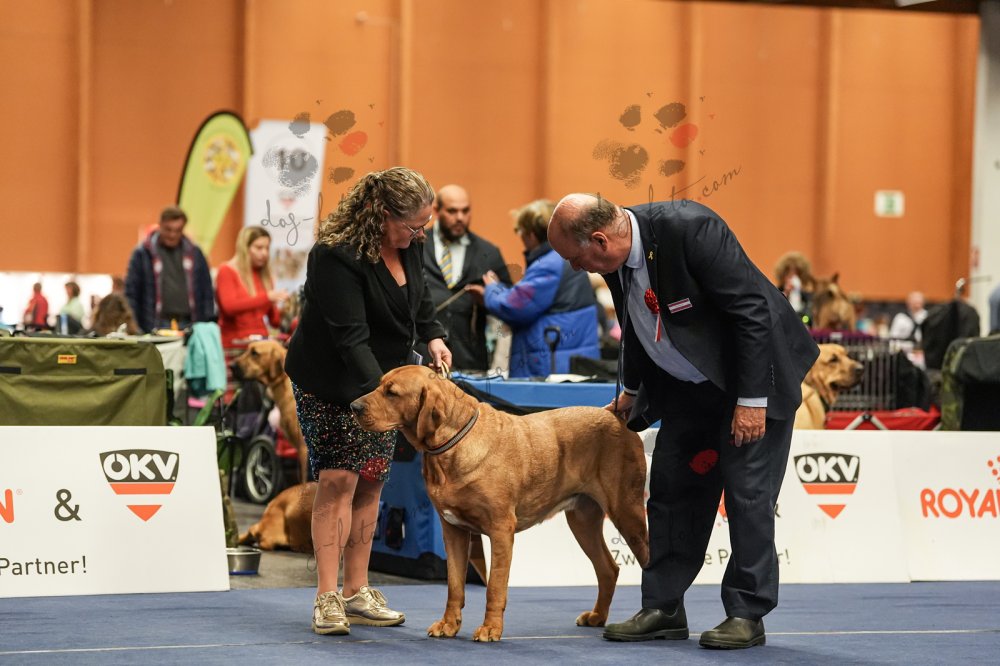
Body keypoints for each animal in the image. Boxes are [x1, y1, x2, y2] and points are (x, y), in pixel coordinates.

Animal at [350, 365, 649, 642]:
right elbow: (454, 585)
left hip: (627, 511)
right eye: (380, 385)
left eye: (392, 393)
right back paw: (597, 616)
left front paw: (490, 629)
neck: (453, 442)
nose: (354, 406)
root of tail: (616, 416)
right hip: (582, 521)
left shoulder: (500, 530)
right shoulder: (453, 531)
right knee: (608, 568)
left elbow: (495, 586)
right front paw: (448, 625)